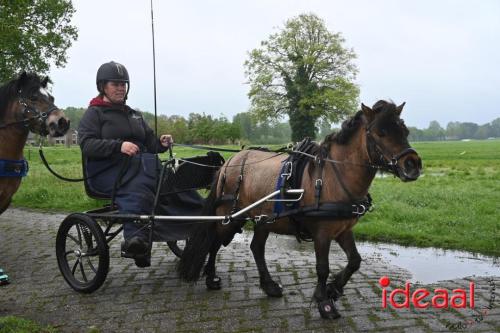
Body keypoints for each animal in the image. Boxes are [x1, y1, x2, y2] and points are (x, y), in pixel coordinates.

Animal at [180, 100, 422, 318]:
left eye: (405, 131)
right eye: (381, 132)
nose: (413, 164)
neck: (333, 176)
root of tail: (230, 162)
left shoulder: (343, 229)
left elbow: (354, 261)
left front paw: (334, 288)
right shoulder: (322, 233)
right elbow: (322, 267)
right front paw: (324, 302)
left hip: (262, 219)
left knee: (256, 247)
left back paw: (269, 286)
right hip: (229, 216)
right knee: (214, 241)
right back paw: (211, 278)